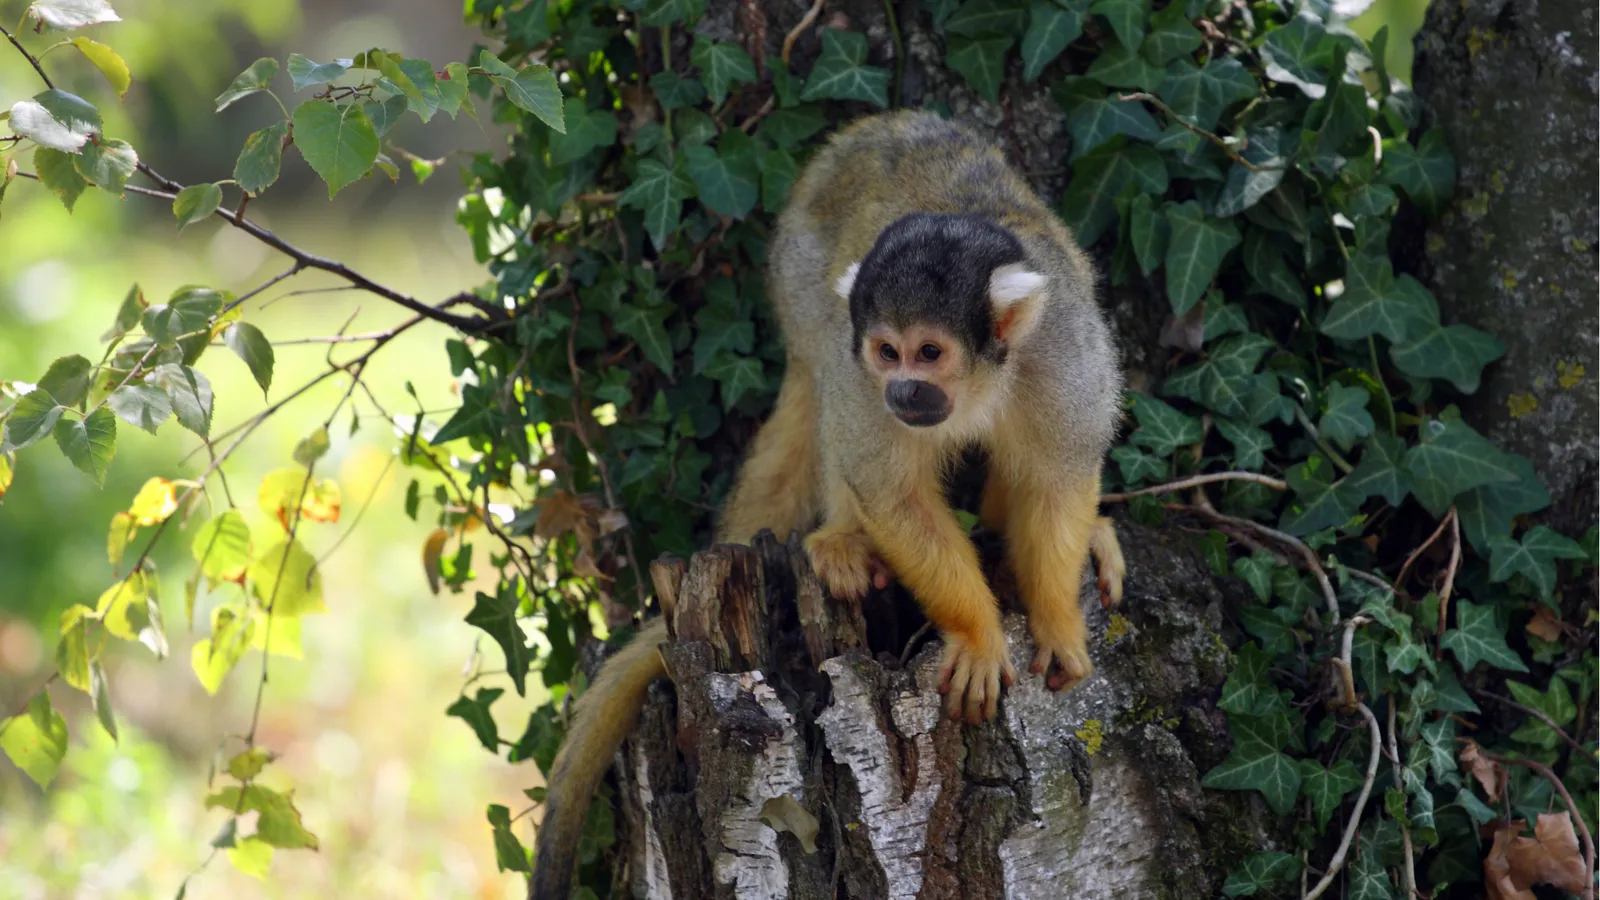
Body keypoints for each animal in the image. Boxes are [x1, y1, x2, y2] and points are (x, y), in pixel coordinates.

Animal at [530, 110, 1125, 900]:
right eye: (889, 351)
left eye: (929, 352)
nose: (904, 390)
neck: (981, 386)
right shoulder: (861, 365)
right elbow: (890, 489)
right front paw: (976, 634)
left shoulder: (1063, 357)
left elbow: (1058, 478)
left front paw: (1056, 620)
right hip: (803, 287)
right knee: (829, 391)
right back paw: (842, 537)